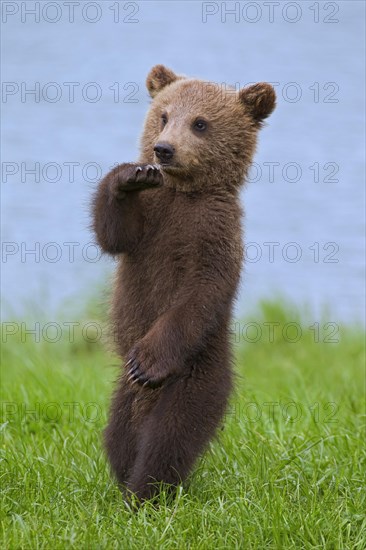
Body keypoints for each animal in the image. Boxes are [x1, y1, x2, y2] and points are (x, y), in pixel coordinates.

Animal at [91, 66, 274, 504]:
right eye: (163, 115)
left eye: (200, 123)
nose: (163, 150)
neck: (183, 192)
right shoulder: (151, 221)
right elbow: (115, 235)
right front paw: (129, 175)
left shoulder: (213, 233)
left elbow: (200, 292)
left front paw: (146, 362)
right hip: (123, 395)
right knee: (120, 434)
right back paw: (125, 479)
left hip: (198, 373)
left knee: (169, 435)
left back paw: (147, 492)